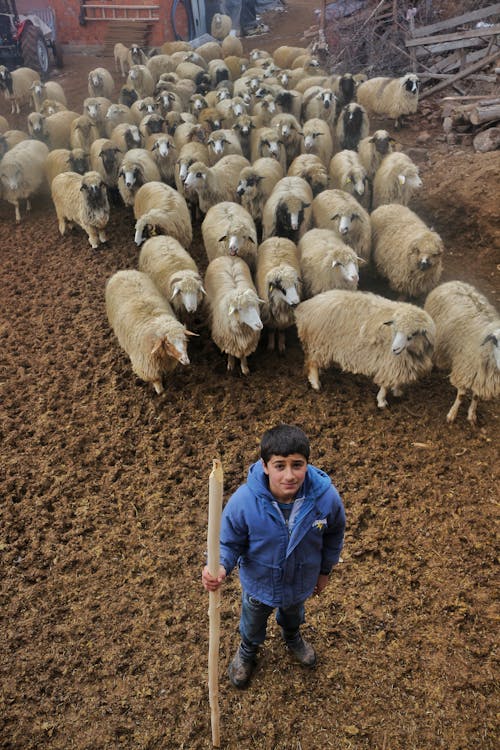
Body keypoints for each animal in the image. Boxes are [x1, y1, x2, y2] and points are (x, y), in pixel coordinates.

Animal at [105, 272, 193, 400]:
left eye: (185, 340)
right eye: (167, 343)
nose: (185, 360)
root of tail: (122, 272)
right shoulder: (147, 366)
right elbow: (156, 380)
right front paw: (162, 393)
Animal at [294, 290, 436, 408]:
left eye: (412, 335)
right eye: (395, 330)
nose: (394, 349)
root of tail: (306, 306)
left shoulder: (401, 364)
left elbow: (397, 380)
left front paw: (397, 391)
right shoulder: (389, 362)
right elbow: (385, 384)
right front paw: (382, 401)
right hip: (320, 344)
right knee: (312, 363)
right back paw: (315, 383)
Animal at [422, 280, 500, 426]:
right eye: (496, 341)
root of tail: (453, 282)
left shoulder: (478, 376)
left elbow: (476, 396)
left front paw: (471, 415)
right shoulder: (466, 368)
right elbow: (462, 395)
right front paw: (452, 414)